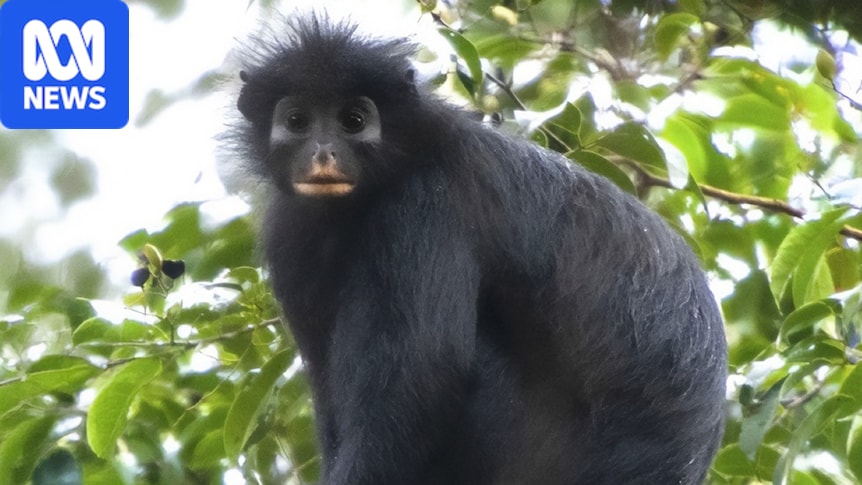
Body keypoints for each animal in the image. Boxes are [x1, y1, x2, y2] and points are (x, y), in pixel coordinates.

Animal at [227, 14, 727, 485]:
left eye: (353, 121)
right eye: (297, 121)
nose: (323, 153)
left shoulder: (425, 202)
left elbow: (423, 374)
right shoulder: (291, 233)